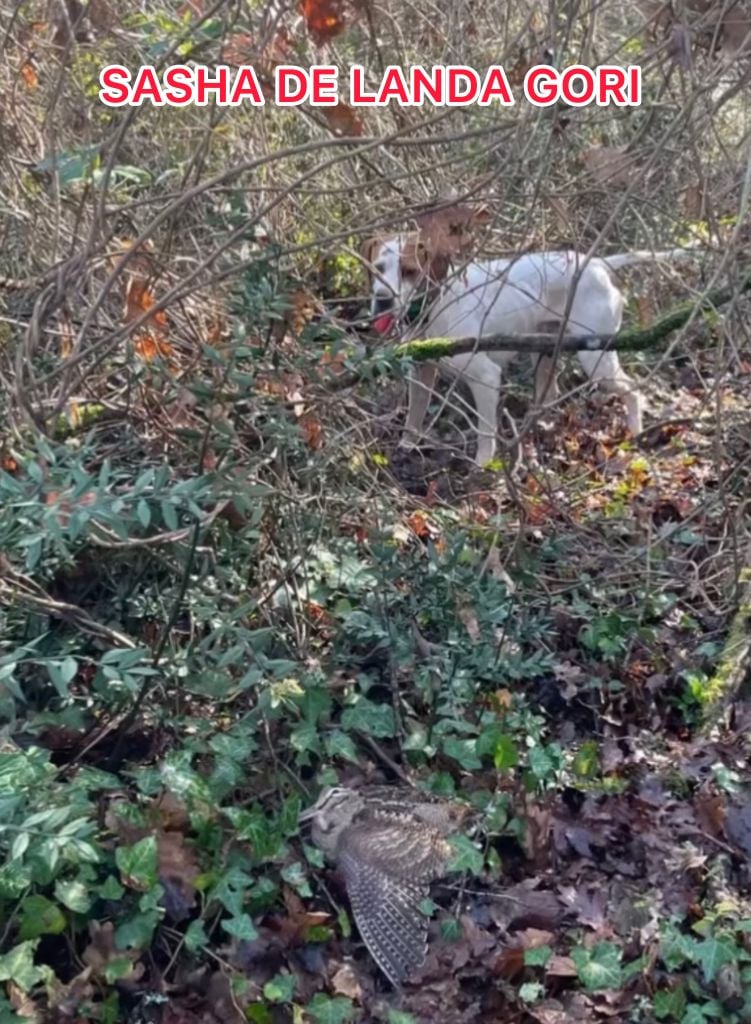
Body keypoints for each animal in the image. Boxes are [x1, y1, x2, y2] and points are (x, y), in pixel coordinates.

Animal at [362, 230, 692, 466]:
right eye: (377, 268)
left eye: (409, 271)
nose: (382, 299)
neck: (436, 300)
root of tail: (597, 263)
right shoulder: (421, 373)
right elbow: (414, 417)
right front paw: (406, 448)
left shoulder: (485, 377)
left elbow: (485, 431)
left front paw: (482, 466)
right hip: (545, 352)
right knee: (551, 394)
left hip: (596, 356)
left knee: (633, 391)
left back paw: (635, 435)